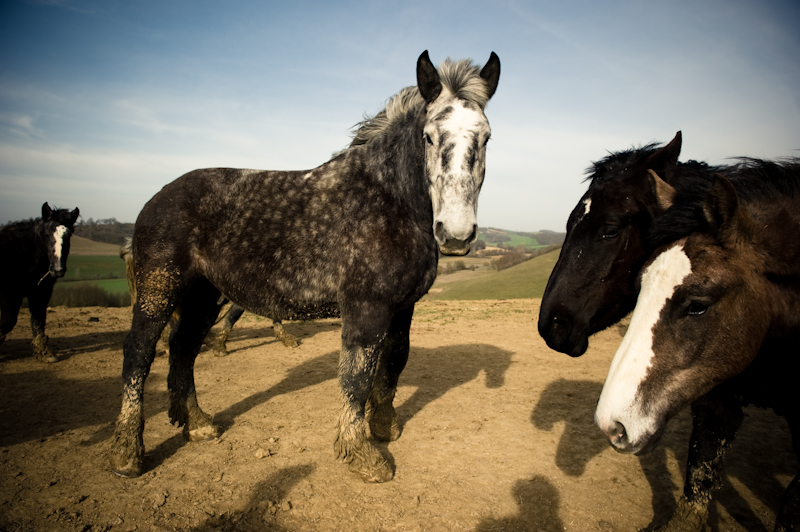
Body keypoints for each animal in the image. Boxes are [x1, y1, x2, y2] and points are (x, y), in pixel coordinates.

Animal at [0, 203, 80, 362]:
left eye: (68, 235)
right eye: (47, 234)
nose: (57, 269)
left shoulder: (40, 291)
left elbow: (38, 319)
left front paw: (43, 352)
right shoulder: (10, 295)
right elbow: (8, 322)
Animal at [108, 50, 501, 483]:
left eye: (486, 137)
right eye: (429, 136)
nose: (456, 235)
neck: (387, 200)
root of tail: (154, 201)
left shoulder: (403, 307)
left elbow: (394, 362)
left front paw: (384, 427)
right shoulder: (366, 308)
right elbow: (357, 375)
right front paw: (361, 453)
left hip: (203, 297)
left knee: (182, 348)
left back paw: (197, 424)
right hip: (159, 291)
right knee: (139, 354)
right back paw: (127, 453)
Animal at [595, 173, 800, 531]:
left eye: (697, 306)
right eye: (639, 289)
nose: (611, 425)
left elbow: (789, 508)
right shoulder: (716, 407)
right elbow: (697, 485)